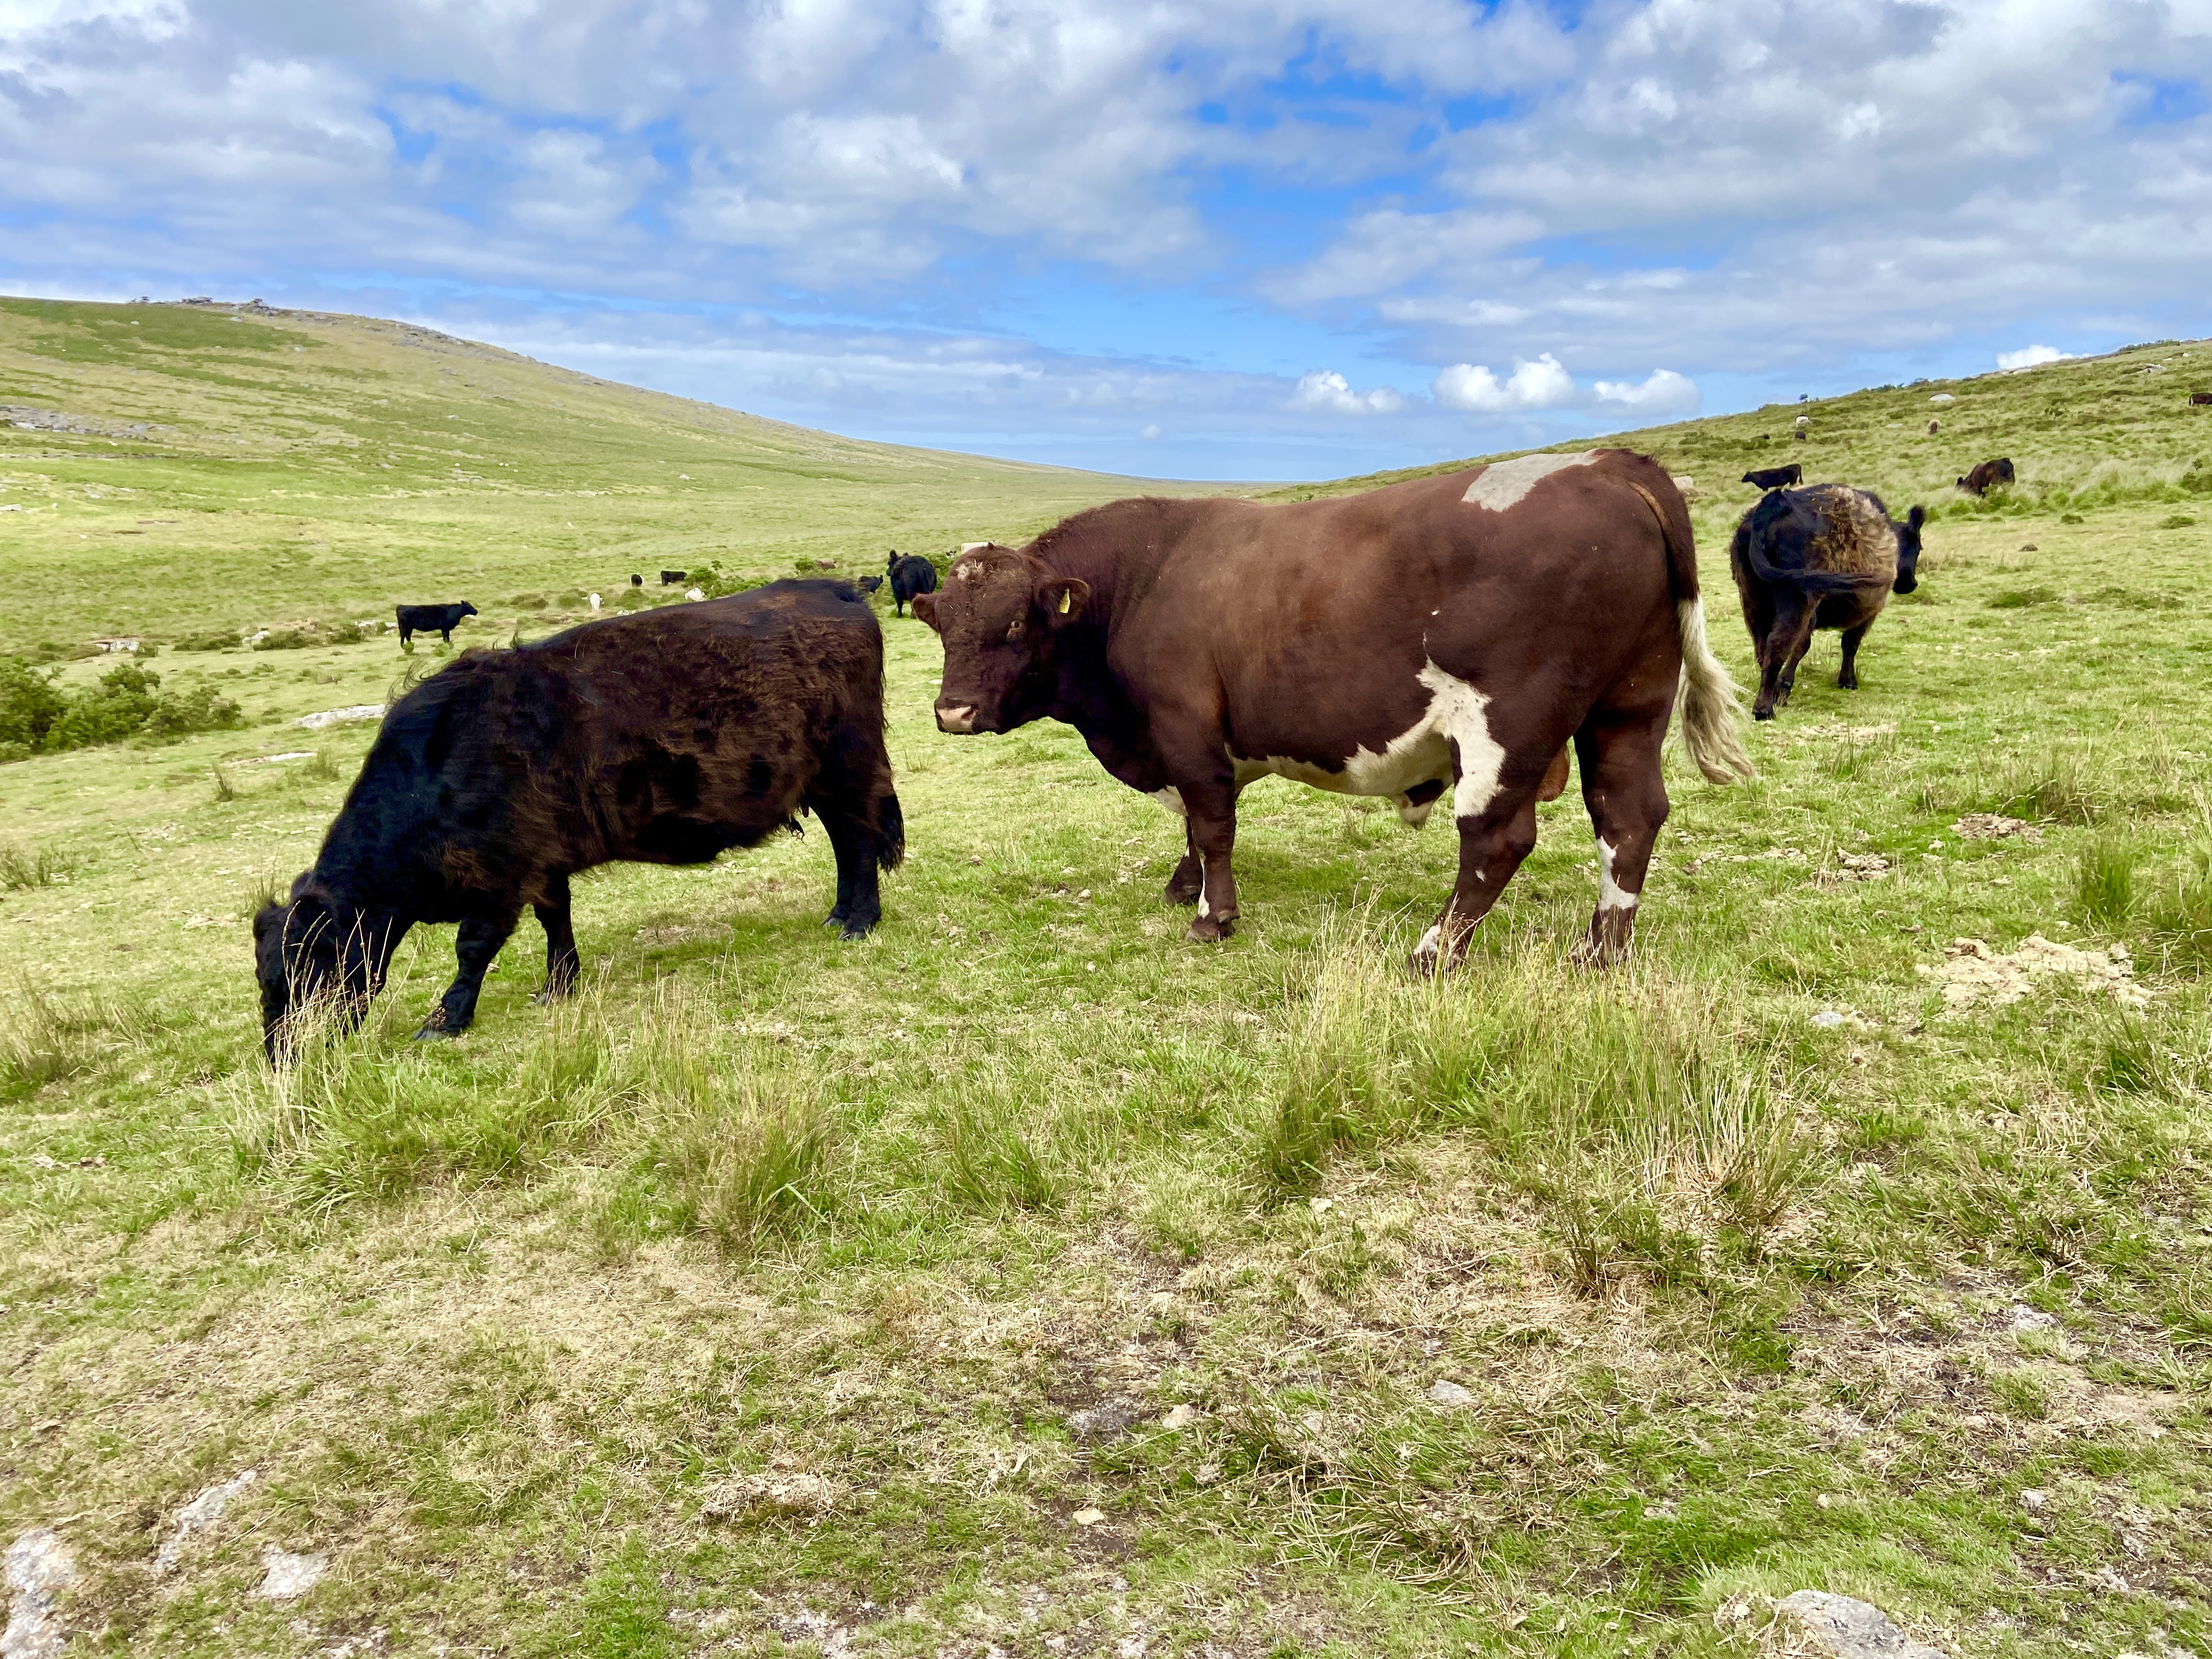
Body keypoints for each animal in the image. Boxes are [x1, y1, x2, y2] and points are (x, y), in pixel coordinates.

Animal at [395, 602, 477, 647]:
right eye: (469, 606)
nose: (476, 611)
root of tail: (400, 606)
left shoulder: (445, 629)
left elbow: (447, 637)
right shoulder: (445, 628)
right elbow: (446, 636)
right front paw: (447, 643)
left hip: (409, 628)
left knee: (408, 636)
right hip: (405, 627)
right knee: (404, 636)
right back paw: (404, 646)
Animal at [914, 450, 1753, 970]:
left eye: (1015, 625)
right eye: (940, 623)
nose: (953, 712)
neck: (1142, 579)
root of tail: (1607, 464)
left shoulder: (1187, 726)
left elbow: (1211, 823)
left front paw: (1212, 915)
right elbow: (1194, 824)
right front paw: (1184, 885)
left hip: (1508, 723)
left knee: (1498, 840)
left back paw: (1434, 953)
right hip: (1629, 704)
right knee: (1629, 816)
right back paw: (1599, 952)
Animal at [1728, 485, 1926, 722]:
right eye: (1919, 547)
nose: (1911, 584)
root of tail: (1774, 503)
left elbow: (1803, 645)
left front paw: (1782, 689)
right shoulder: (1869, 610)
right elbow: (1849, 643)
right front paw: (1847, 681)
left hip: (1753, 598)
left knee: (1762, 646)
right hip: (1796, 597)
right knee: (1778, 646)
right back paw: (1764, 709)